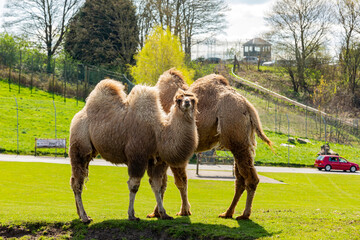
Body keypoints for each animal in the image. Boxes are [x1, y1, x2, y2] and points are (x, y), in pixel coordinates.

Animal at [69, 79, 198, 223]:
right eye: (178, 99)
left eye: (193, 99)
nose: (187, 103)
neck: (159, 132)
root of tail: (78, 115)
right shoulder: (137, 156)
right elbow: (134, 185)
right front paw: (132, 215)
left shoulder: (157, 161)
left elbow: (157, 185)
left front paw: (163, 214)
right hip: (79, 146)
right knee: (77, 182)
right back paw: (85, 217)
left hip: (90, 151)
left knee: (77, 179)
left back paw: (81, 215)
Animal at [148, 69, 270, 219]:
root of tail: (248, 106)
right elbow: (163, 183)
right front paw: (157, 213)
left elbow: (179, 181)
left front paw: (184, 211)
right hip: (240, 143)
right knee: (240, 179)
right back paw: (227, 213)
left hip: (237, 138)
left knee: (250, 179)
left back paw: (244, 215)